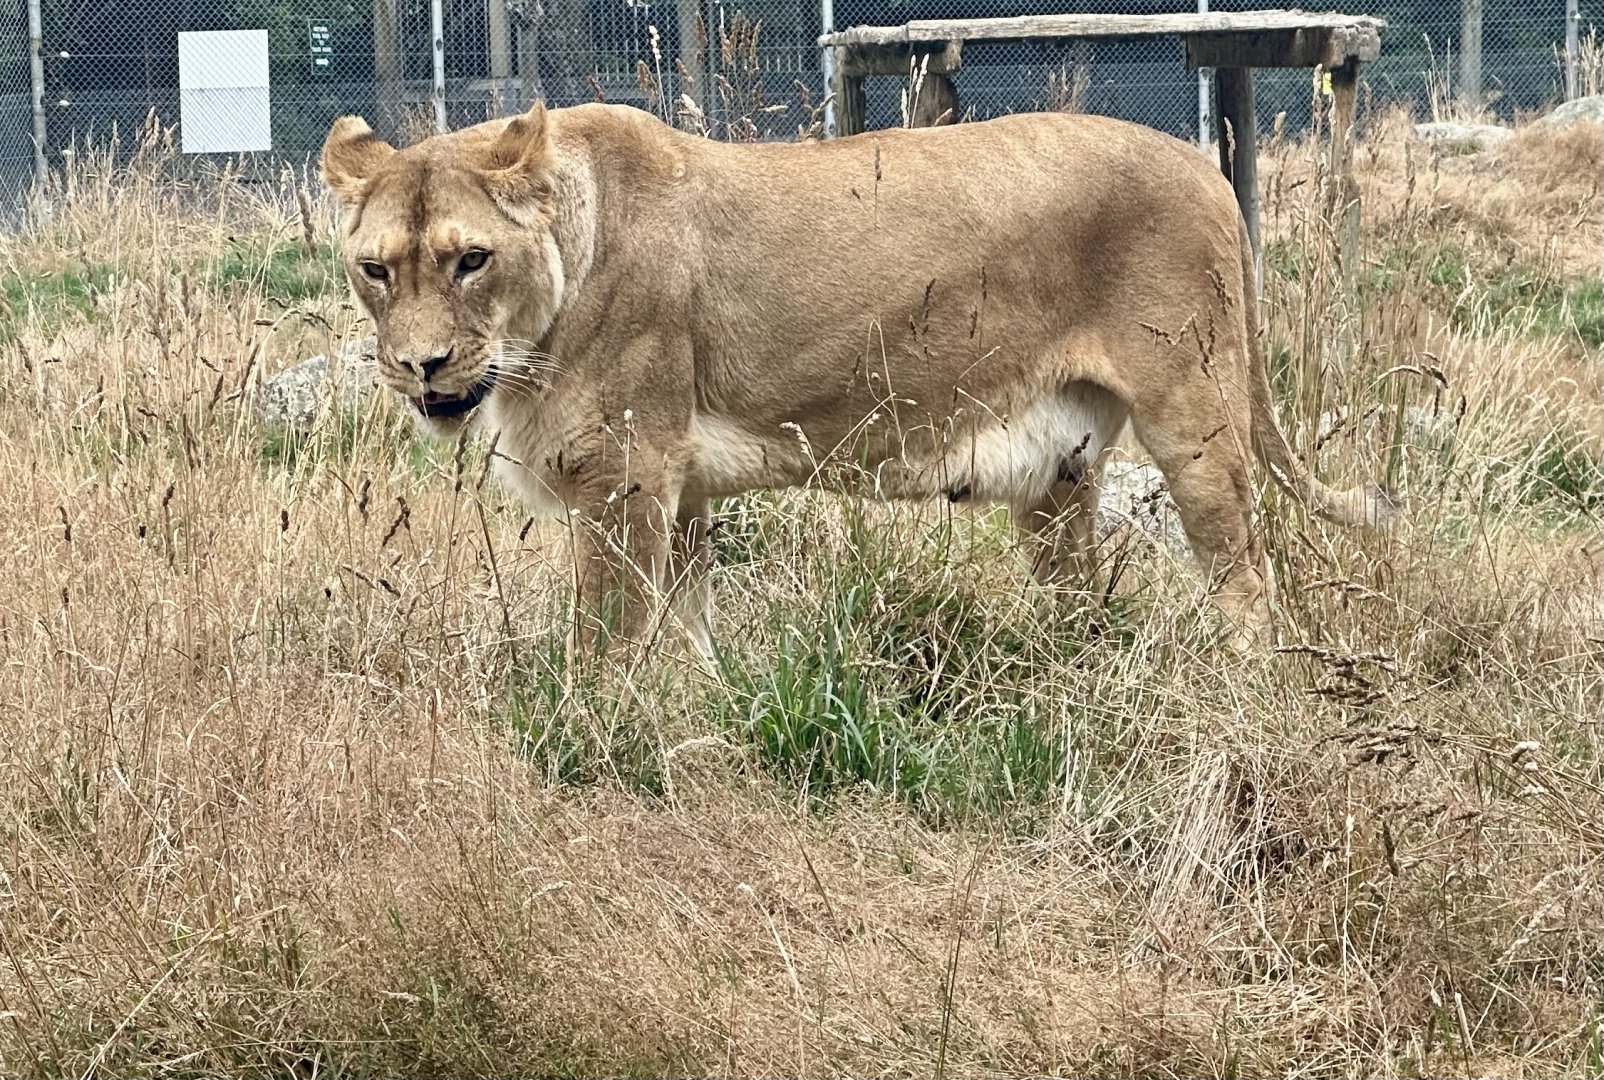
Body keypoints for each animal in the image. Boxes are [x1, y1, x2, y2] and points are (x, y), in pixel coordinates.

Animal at [320, 100, 1395, 657]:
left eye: (470, 260)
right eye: (376, 269)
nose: (420, 366)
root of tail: (1204, 162)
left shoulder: (626, 472)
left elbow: (605, 639)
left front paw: (594, 737)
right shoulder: (680, 484)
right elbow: (689, 630)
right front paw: (692, 718)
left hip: (1195, 422)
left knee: (1247, 584)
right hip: (1060, 470)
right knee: (1081, 598)